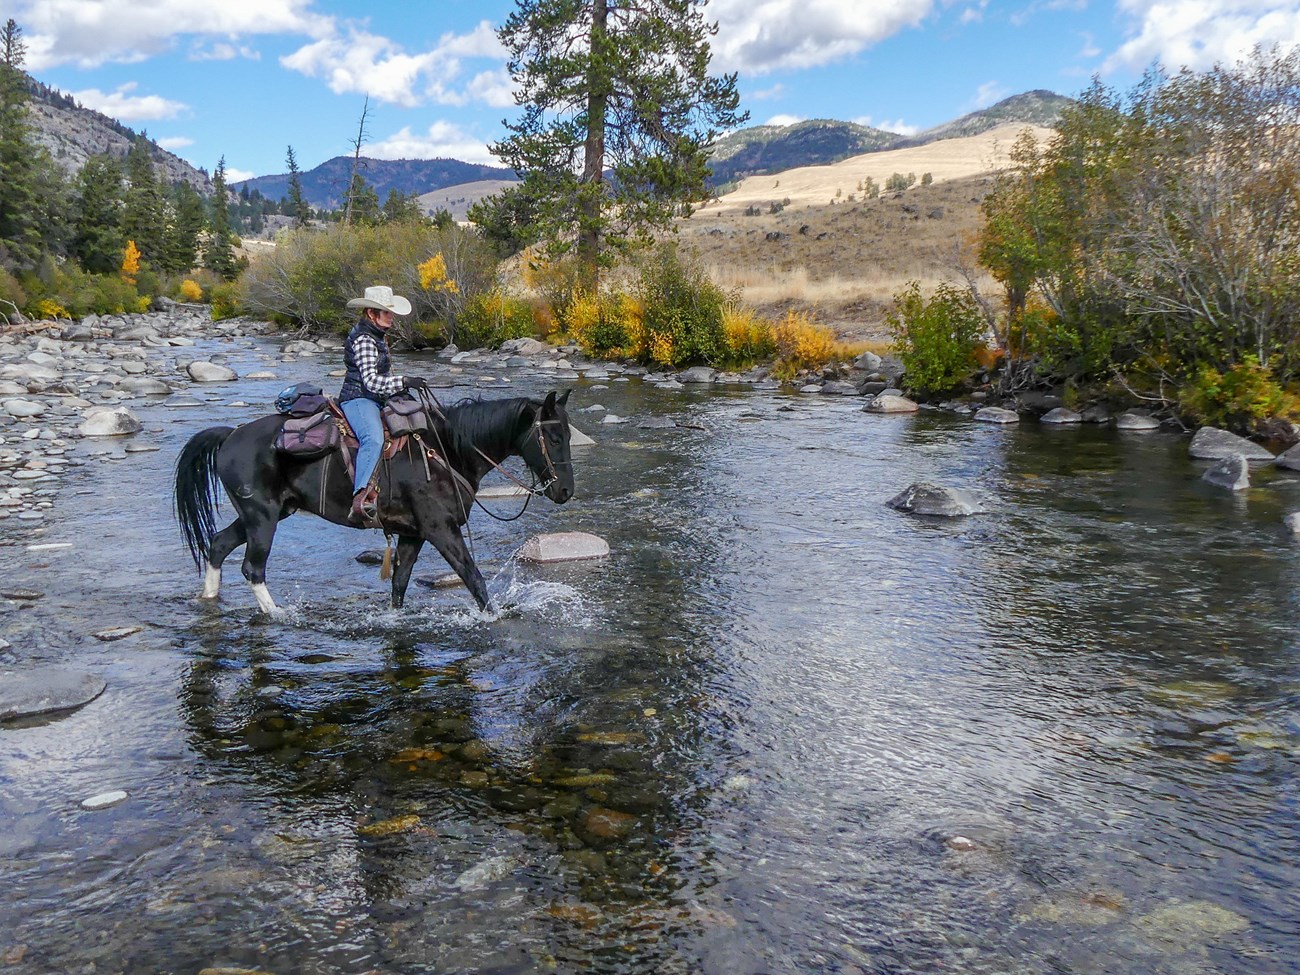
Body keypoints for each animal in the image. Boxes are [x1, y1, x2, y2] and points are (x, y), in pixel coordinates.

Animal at [172, 392, 574, 613]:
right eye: (553, 437)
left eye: (569, 435)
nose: (566, 491)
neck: (446, 452)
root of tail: (229, 436)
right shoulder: (440, 529)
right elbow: (473, 577)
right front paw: (495, 617)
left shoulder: (414, 533)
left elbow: (399, 584)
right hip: (262, 518)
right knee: (252, 568)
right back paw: (279, 616)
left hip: (266, 514)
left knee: (218, 544)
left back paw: (208, 598)